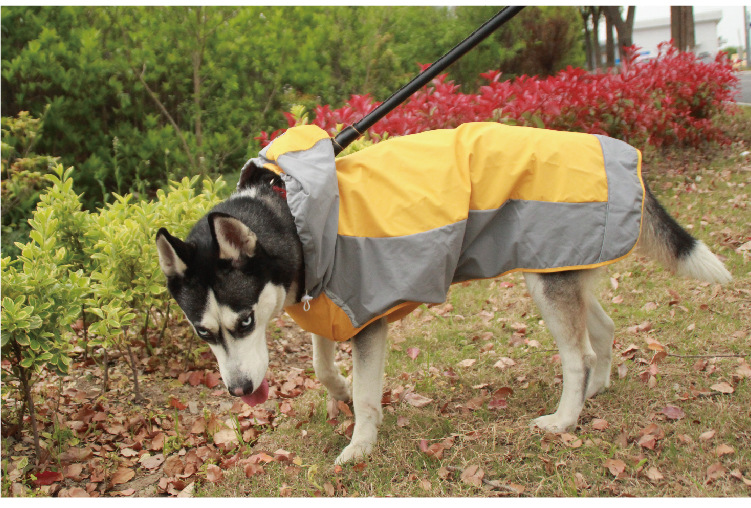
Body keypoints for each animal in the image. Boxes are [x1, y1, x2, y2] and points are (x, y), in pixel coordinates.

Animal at [154, 124, 736, 464]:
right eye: (203, 334)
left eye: (245, 323)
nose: (240, 391)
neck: (294, 221)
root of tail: (618, 153)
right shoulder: (324, 308)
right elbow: (321, 365)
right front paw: (339, 391)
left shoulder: (367, 320)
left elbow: (368, 396)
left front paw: (360, 443)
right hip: (561, 269)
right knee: (606, 332)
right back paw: (597, 390)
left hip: (545, 283)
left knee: (579, 355)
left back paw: (565, 418)